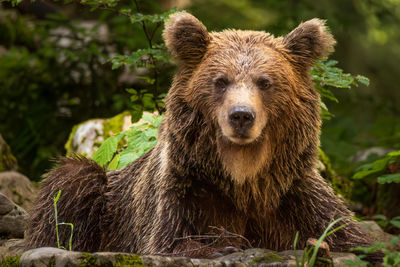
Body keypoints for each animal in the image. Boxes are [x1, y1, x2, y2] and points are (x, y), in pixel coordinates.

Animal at [26, 11, 374, 260]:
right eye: (221, 81)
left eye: (265, 82)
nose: (241, 115)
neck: (244, 178)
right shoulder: (188, 190)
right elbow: (171, 240)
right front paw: (220, 245)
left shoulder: (293, 193)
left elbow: (348, 236)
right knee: (70, 185)